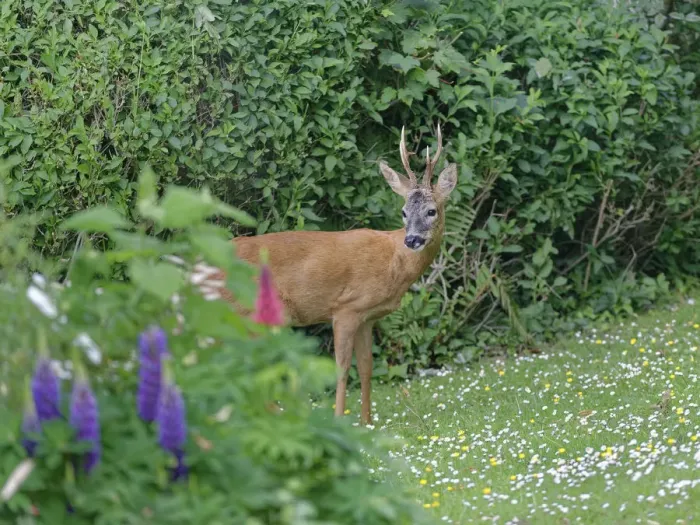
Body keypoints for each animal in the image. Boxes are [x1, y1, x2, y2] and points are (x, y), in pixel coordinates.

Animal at [187, 124, 458, 426]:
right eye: (403, 212)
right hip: (246, 314)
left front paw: (367, 422)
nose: (412, 240)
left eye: (431, 211)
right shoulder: (345, 308)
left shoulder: (367, 317)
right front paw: (340, 418)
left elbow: (366, 367)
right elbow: (342, 367)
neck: (393, 260)